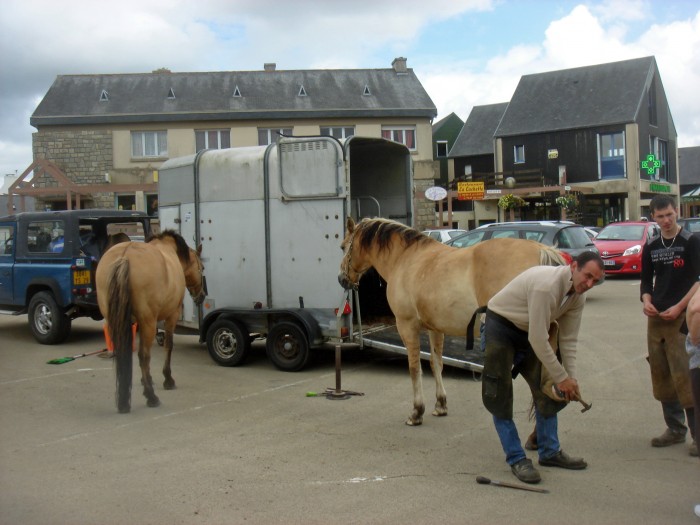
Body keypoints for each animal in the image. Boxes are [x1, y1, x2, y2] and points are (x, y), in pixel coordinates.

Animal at [95, 229, 205, 414]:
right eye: (202, 268)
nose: (202, 296)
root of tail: (124, 257)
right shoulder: (171, 316)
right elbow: (168, 345)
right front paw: (168, 379)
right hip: (148, 322)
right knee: (143, 355)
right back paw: (151, 397)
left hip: (115, 321)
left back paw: (124, 400)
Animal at [336, 217, 568, 426]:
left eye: (343, 246)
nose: (341, 279)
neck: (405, 259)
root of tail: (541, 250)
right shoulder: (435, 329)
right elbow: (435, 363)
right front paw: (440, 405)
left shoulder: (407, 326)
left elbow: (414, 368)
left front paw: (417, 412)